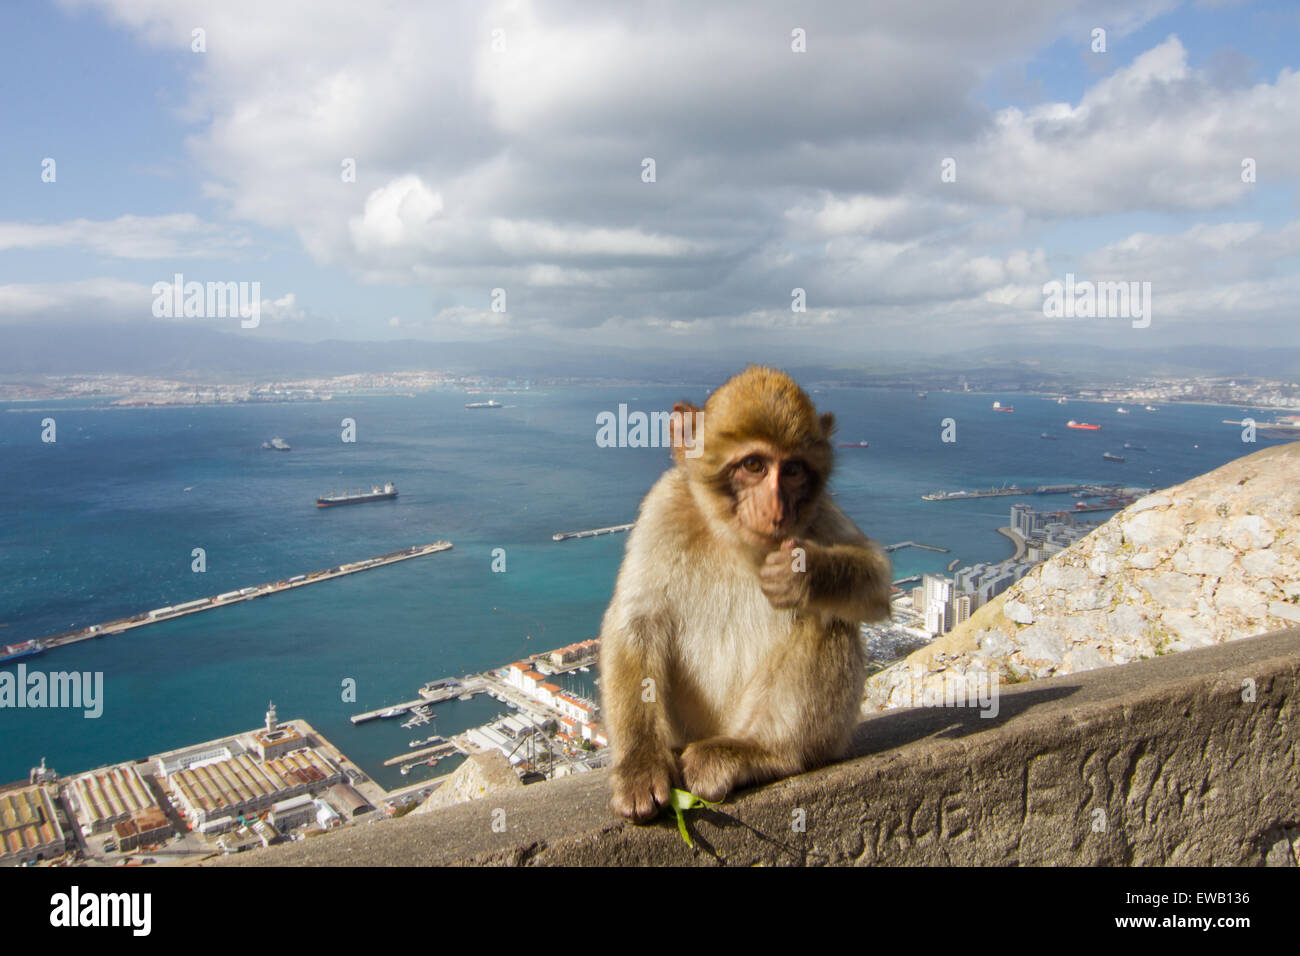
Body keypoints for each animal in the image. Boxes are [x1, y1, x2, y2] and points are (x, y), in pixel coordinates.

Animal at [600, 361, 894, 816]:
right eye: (754, 465)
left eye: (792, 470)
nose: (775, 508)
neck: (734, 539)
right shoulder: (665, 506)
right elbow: (637, 621)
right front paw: (639, 763)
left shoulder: (819, 512)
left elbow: (877, 580)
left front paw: (802, 572)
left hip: (788, 730)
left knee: (827, 620)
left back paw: (762, 753)